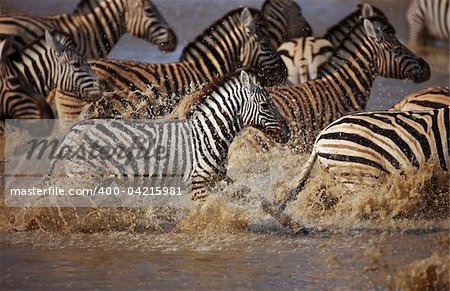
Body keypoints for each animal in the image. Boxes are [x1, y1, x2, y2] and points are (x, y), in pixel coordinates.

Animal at [49, 71, 288, 201]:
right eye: (265, 105)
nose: (287, 132)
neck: (209, 132)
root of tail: (72, 131)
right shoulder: (198, 182)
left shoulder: (218, 177)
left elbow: (257, 198)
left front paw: (292, 224)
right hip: (84, 177)